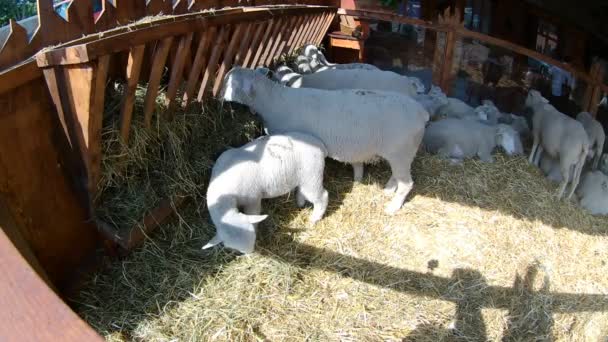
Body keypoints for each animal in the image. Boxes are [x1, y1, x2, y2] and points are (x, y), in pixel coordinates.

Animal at [221, 66, 430, 214]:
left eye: (231, 83)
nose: (218, 96)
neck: (273, 101)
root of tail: (422, 112)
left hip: (401, 151)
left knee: (406, 183)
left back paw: (392, 207)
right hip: (400, 153)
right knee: (397, 176)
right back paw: (388, 190)